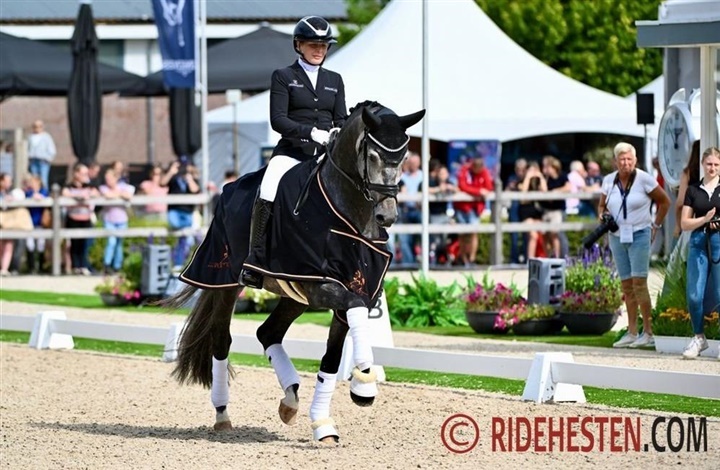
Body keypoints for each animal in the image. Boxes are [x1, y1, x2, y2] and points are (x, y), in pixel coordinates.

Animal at [163, 101, 422, 442]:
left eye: (404, 157)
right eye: (373, 156)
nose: (387, 215)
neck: (349, 213)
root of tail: (229, 188)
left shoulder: (354, 289)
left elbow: (333, 357)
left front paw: (326, 419)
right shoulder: (326, 287)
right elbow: (352, 312)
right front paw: (364, 380)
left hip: (294, 294)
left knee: (268, 332)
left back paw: (290, 399)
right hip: (225, 282)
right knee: (221, 340)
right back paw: (222, 414)